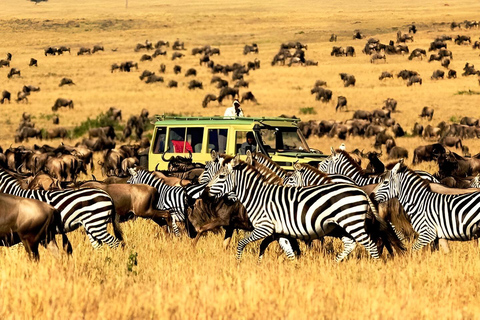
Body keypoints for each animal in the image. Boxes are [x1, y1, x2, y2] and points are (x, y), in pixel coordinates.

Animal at [207, 156, 404, 262]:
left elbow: (241, 243)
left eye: (221, 176)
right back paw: (335, 264)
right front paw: (294, 267)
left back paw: (375, 266)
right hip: (342, 225)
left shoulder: (265, 227)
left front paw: (238, 263)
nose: (206, 191)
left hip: (351, 222)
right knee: (352, 244)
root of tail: (360, 190)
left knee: (370, 244)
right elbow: (288, 251)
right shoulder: (279, 232)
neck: (258, 196)